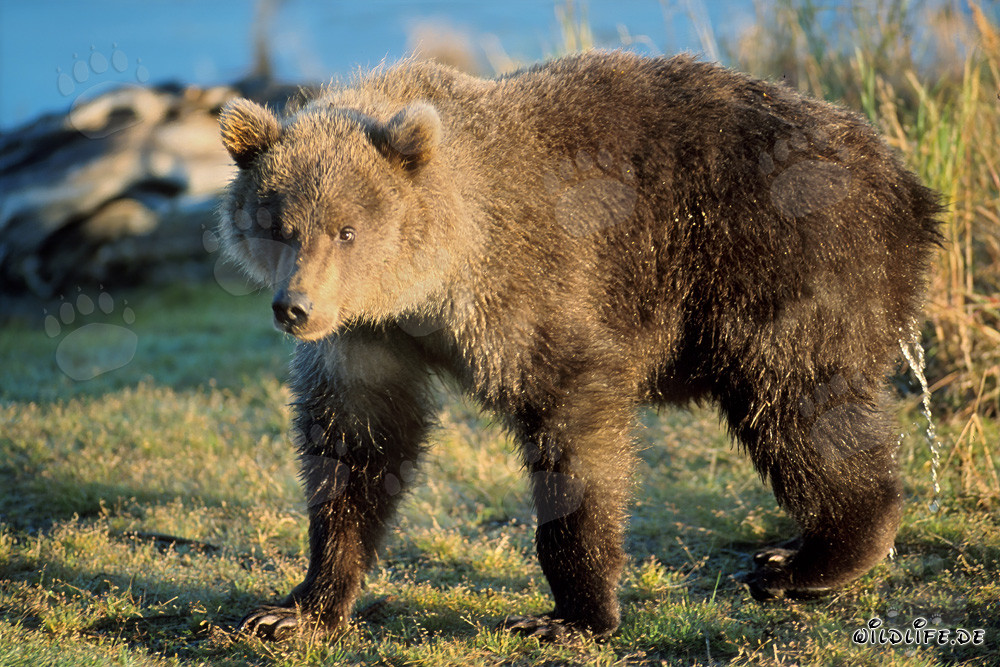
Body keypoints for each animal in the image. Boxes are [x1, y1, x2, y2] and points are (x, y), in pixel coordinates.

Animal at [216, 51, 941, 640]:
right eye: (277, 224)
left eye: (346, 229)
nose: (296, 307)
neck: (428, 286)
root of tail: (907, 183)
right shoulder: (368, 340)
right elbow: (356, 447)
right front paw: (296, 608)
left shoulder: (534, 289)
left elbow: (575, 432)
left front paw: (570, 614)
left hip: (782, 255)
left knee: (797, 406)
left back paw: (813, 558)